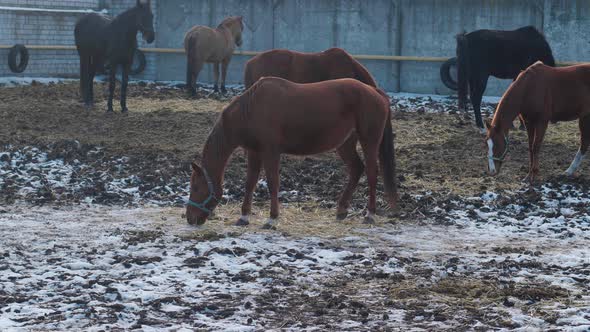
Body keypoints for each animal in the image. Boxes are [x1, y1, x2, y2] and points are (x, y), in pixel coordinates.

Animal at [187, 77, 400, 230]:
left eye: (196, 188)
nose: (190, 218)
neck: (251, 109)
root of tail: (375, 92)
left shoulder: (271, 152)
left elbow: (273, 183)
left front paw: (272, 219)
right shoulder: (254, 152)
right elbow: (250, 183)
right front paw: (244, 217)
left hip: (369, 142)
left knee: (371, 173)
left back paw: (370, 214)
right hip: (345, 144)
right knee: (356, 169)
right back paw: (341, 210)